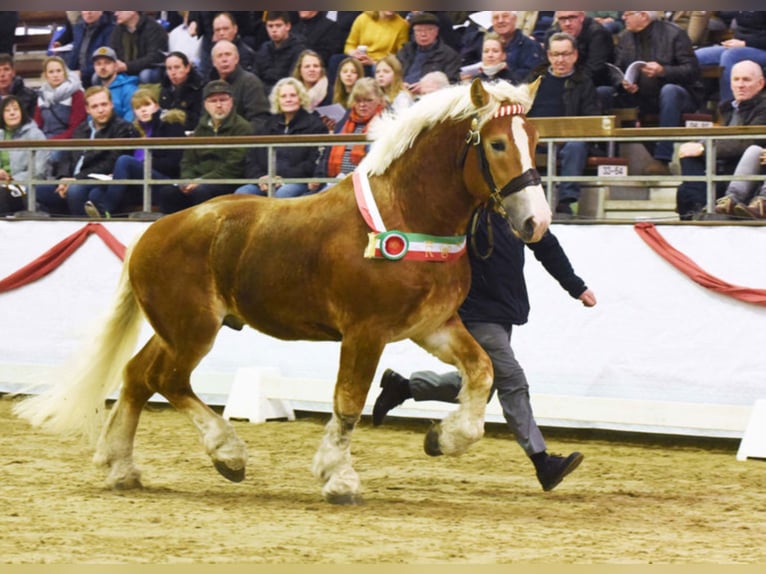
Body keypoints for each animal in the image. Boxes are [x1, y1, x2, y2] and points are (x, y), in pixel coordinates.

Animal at [16, 80, 552, 504]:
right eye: (497, 144)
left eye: (534, 140)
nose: (536, 222)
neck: (404, 216)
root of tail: (152, 233)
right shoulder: (366, 332)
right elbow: (348, 402)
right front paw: (338, 478)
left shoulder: (432, 326)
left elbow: (481, 372)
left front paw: (444, 438)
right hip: (192, 330)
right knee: (166, 380)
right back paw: (228, 454)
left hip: (175, 328)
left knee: (136, 376)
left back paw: (121, 467)